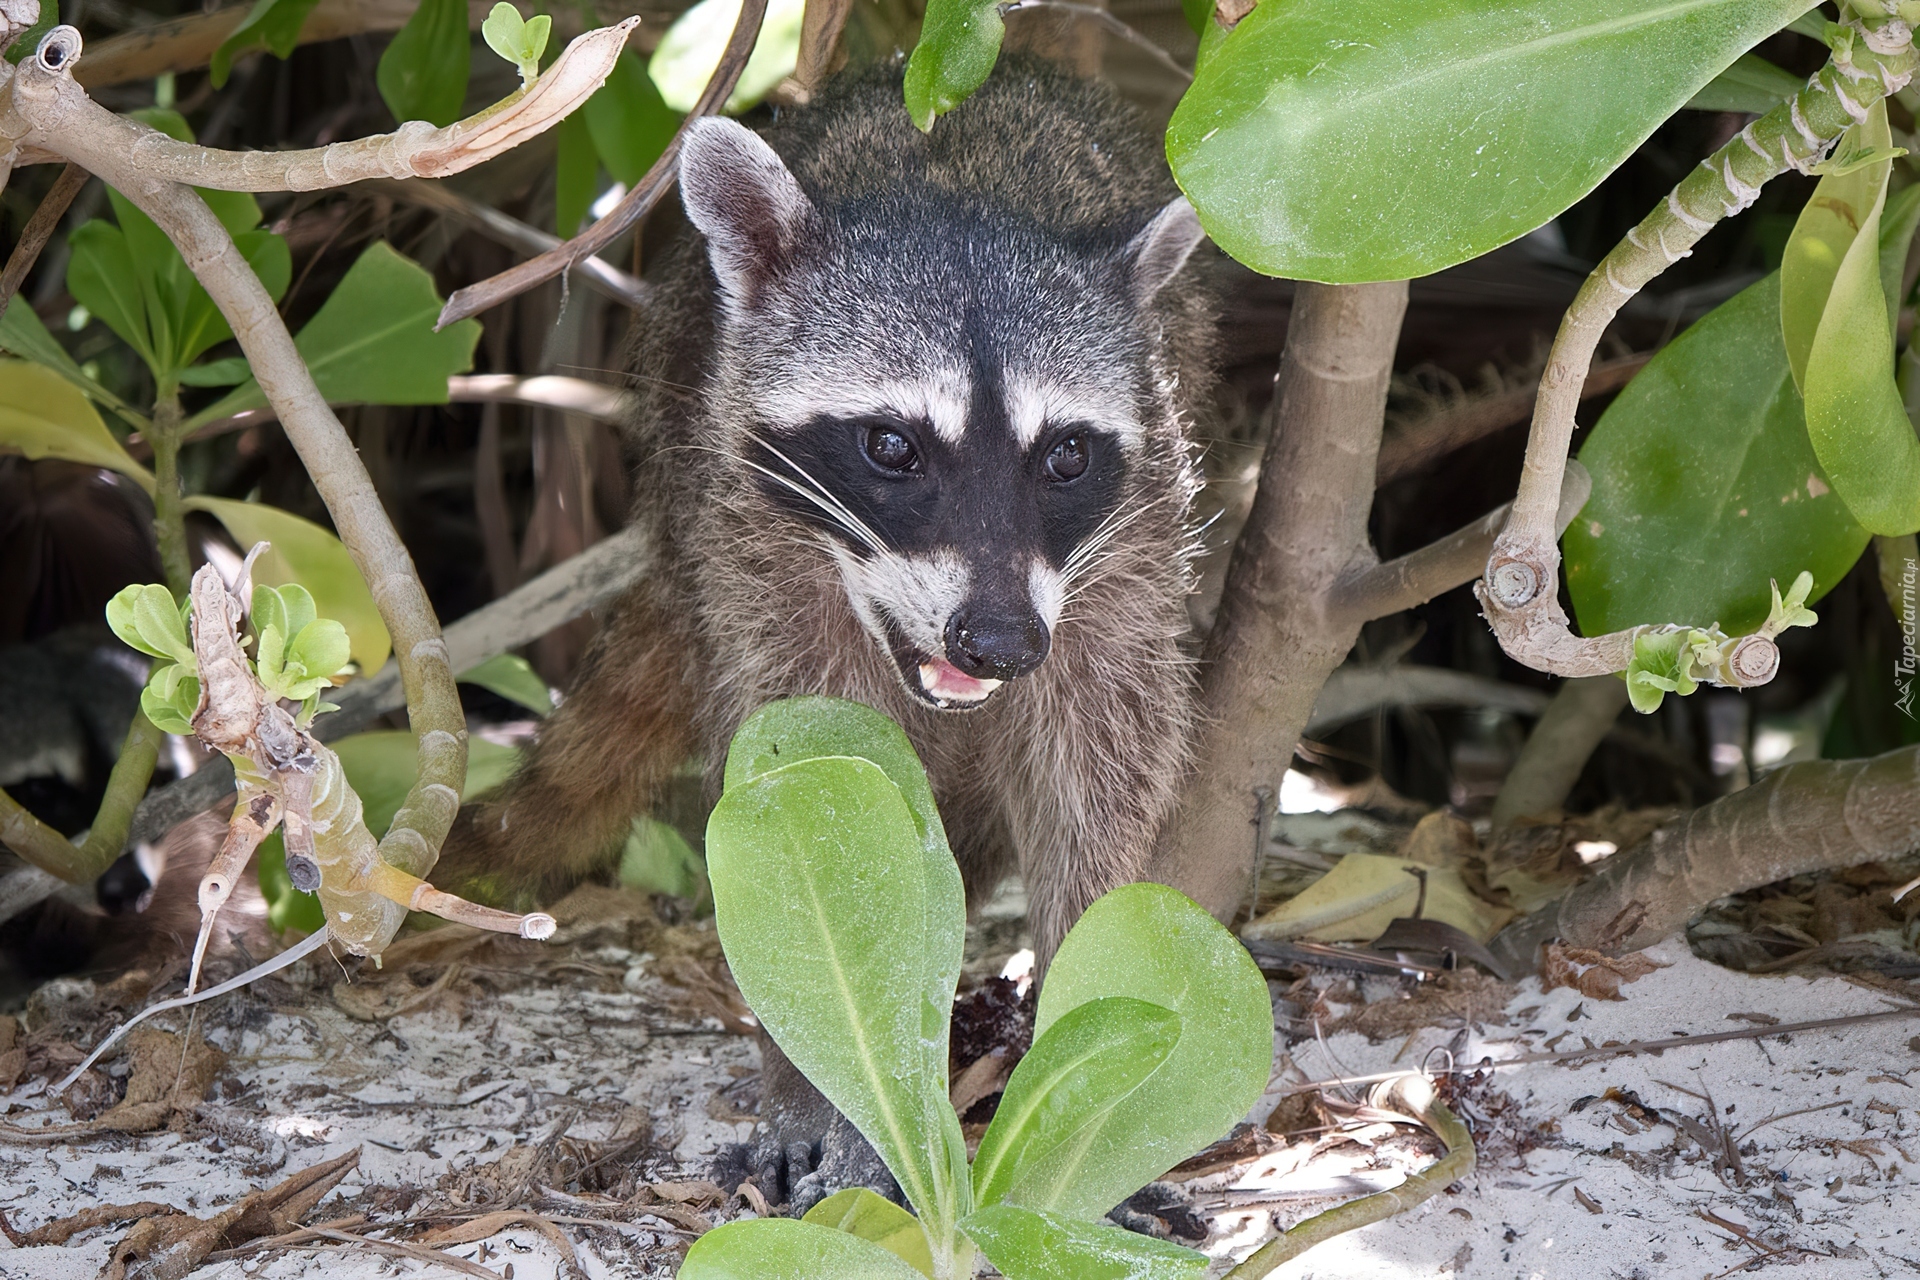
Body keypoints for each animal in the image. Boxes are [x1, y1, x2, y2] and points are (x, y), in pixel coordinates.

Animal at [439, 57, 1213, 1205]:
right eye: (892, 445)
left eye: (1066, 456)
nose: (999, 644)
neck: (957, 194)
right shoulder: (753, 543)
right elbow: (818, 795)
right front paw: (836, 1102)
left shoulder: (1132, 539)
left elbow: (1101, 765)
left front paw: (1083, 1053)